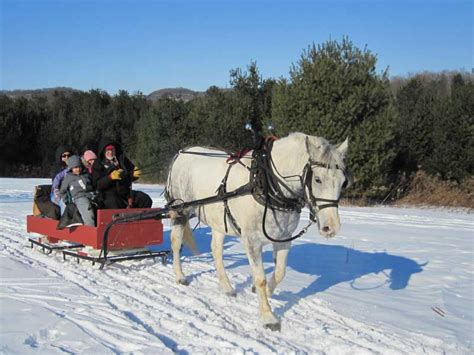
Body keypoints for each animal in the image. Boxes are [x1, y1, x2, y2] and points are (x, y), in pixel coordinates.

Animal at [166, 133, 348, 330]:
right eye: (318, 179)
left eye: (343, 182)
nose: (331, 227)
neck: (268, 185)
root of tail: (181, 152)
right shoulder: (251, 240)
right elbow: (260, 277)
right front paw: (269, 317)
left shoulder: (284, 238)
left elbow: (280, 272)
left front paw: (266, 291)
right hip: (181, 211)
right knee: (175, 242)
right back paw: (180, 276)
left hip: (219, 220)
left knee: (216, 250)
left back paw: (226, 287)